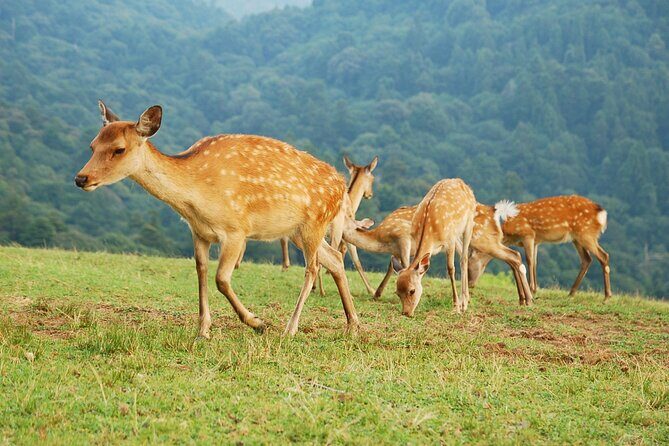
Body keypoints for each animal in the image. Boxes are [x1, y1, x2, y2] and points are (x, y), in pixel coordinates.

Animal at [75, 101, 360, 337]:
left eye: (119, 149)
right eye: (92, 145)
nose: (81, 178)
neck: (195, 198)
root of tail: (341, 185)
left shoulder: (236, 230)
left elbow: (221, 279)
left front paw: (257, 322)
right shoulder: (199, 232)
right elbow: (201, 272)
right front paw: (203, 330)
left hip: (315, 222)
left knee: (313, 268)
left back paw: (290, 329)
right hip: (297, 231)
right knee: (335, 258)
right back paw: (352, 324)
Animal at [343, 201, 533, 305]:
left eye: (345, 219)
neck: (382, 239)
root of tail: (495, 211)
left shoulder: (403, 239)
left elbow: (404, 266)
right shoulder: (398, 250)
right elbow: (393, 267)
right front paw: (377, 293)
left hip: (483, 240)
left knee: (514, 256)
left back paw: (528, 299)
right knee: (512, 258)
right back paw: (523, 299)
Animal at [390, 179, 477, 317]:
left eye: (412, 290)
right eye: (397, 292)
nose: (406, 313)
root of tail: (461, 181)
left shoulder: (449, 240)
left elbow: (450, 269)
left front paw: (456, 307)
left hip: (469, 222)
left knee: (464, 258)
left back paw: (464, 304)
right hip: (457, 233)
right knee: (463, 253)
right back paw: (466, 300)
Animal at [468, 195, 612, 298]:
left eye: (469, 265)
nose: (470, 284)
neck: (508, 234)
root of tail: (602, 213)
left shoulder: (528, 235)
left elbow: (529, 261)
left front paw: (532, 289)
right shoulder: (536, 241)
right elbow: (535, 262)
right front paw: (535, 289)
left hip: (586, 234)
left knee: (603, 256)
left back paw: (607, 296)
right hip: (577, 238)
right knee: (587, 259)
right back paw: (571, 293)